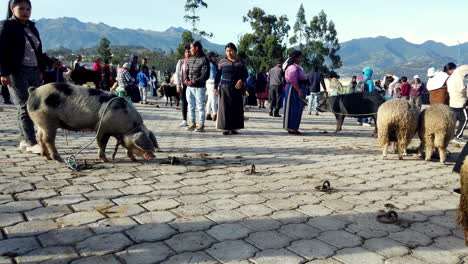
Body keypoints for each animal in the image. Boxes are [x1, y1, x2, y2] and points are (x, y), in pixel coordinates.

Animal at [27, 83, 159, 161]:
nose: (153, 155)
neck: (128, 127)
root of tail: (34, 91)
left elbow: (125, 146)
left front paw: (133, 159)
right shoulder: (102, 128)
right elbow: (101, 144)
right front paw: (105, 160)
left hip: (41, 122)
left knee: (39, 137)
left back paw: (46, 156)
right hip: (48, 121)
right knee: (48, 139)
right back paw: (58, 159)